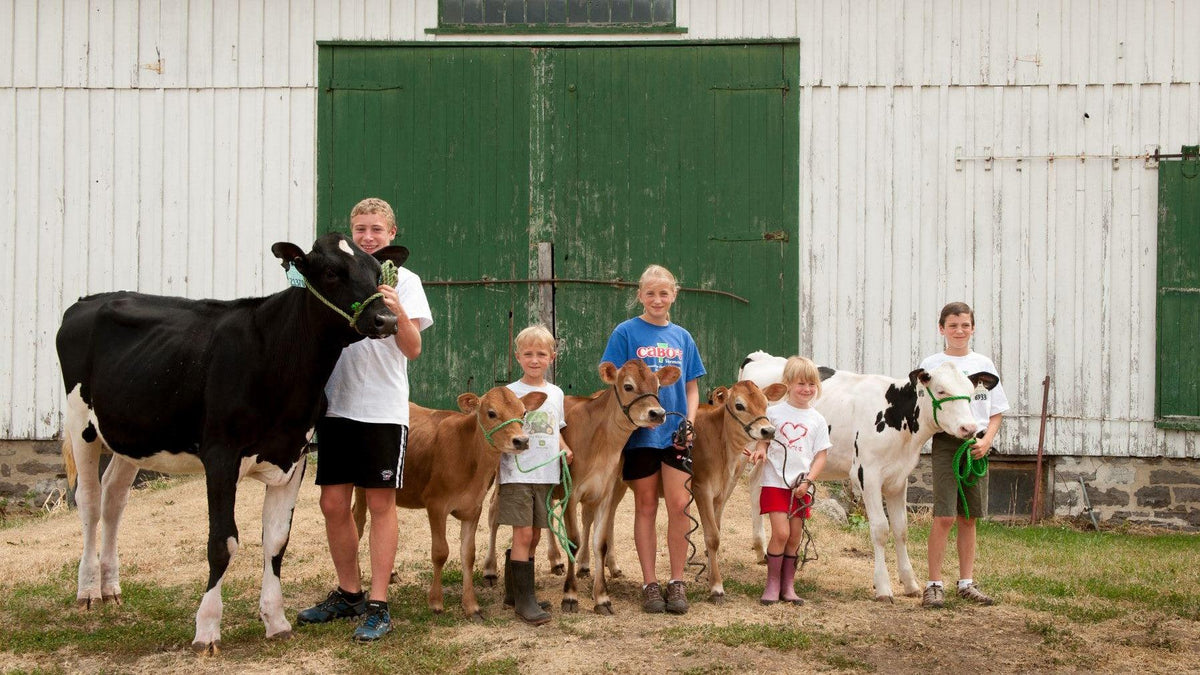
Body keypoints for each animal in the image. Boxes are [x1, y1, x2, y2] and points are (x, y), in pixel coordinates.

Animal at [57, 233, 408, 653]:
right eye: (330, 272)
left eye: (377, 273)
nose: (387, 319)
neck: (278, 357)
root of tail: (88, 299)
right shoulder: (220, 455)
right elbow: (222, 541)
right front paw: (207, 629)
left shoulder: (294, 456)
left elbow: (276, 540)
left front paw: (276, 621)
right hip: (80, 421)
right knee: (90, 501)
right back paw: (88, 591)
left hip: (132, 433)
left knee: (114, 498)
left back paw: (111, 587)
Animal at [734, 348, 988, 595]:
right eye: (941, 390)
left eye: (971, 393)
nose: (969, 428)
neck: (898, 417)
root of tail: (760, 356)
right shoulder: (868, 474)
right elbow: (881, 529)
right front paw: (883, 586)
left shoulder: (899, 478)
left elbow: (901, 529)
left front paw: (910, 583)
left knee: (756, 482)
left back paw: (761, 549)